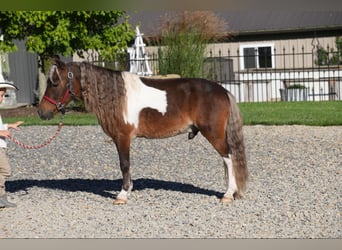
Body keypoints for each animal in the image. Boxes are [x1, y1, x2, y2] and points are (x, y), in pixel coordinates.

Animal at [38, 58, 248, 205]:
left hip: (214, 134)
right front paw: (129, 188)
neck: (117, 95)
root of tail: (222, 90)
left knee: (229, 158)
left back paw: (228, 194)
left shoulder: (122, 138)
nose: (41, 112)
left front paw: (122, 194)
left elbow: (124, 164)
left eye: (55, 82)